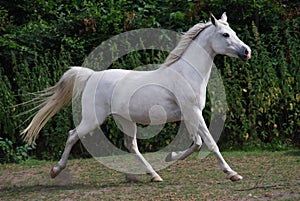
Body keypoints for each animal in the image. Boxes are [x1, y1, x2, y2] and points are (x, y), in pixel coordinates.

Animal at [20, 12, 251, 182]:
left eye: (233, 32)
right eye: (225, 35)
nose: (247, 52)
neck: (186, 73)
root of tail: (92, 75)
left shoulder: (188, 115)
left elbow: (196, 143)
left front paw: (170, 156)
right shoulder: (194, 112)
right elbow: (210, 143)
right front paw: (233, 174)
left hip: (125, 120)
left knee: (131, 146)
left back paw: (153, 175)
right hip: (93, 119)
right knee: (72, 135)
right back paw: (55, 170)